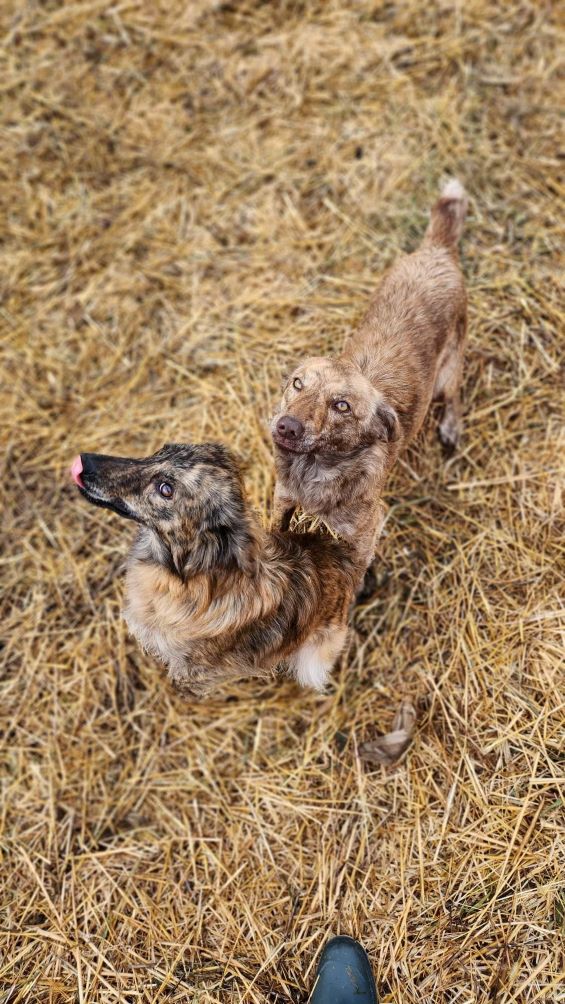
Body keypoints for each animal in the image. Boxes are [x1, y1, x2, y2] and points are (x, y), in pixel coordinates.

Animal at [71, 445, 363, 698]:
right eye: (161, 451)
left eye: (166, 489)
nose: (84, 461)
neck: (181, 580)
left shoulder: (193, 675)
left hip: (313, 660)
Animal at [268, 178, 469, 566]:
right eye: (297, 384)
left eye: (341, 405)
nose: (286, 427)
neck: (313, 469)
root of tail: (437, 249)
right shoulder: (281, 499)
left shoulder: (363, 537)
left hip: (449, 367)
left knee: (453, 395)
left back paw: (450, 428)